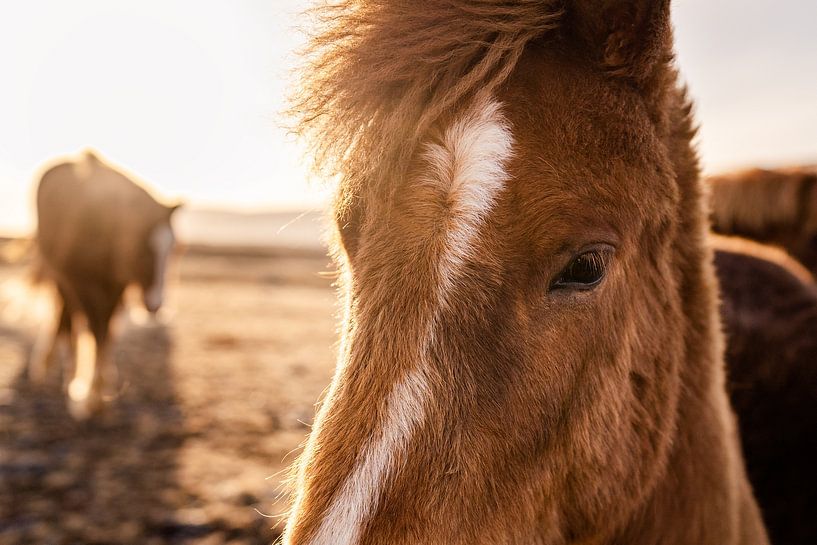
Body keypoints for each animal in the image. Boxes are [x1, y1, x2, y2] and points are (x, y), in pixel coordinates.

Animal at [29, 150, 180, 419]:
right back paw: (64, 374)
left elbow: (106, 331)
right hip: (61, 278)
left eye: (170, 248)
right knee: (66, 321)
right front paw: (90, 396)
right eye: (141, 247)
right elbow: (96, 330)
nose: (155, 306)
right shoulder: (82, 284)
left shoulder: (115, 288)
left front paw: (100, 388)